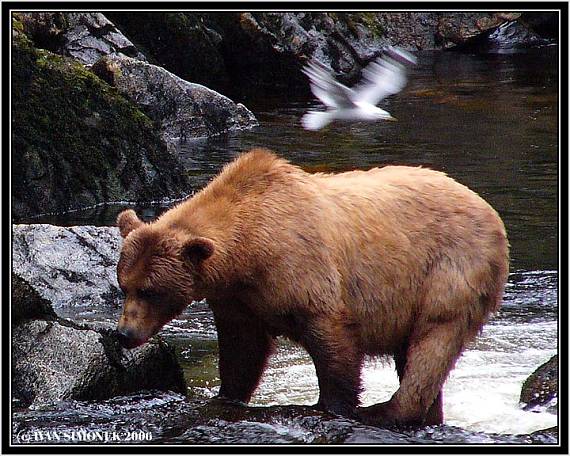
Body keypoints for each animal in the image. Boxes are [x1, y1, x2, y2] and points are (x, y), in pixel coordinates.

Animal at [114, 147, 506, 428]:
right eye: (124, 286)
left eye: (151, 290)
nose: (124, 333)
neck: (248, 252)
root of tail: (488, 208)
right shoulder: (238, 300)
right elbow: (242, 351)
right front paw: (225, 396)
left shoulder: (303, 272)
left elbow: (332, 340)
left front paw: (334, 406)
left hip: (450, 270)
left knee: (433, 339)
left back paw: (386, 412)